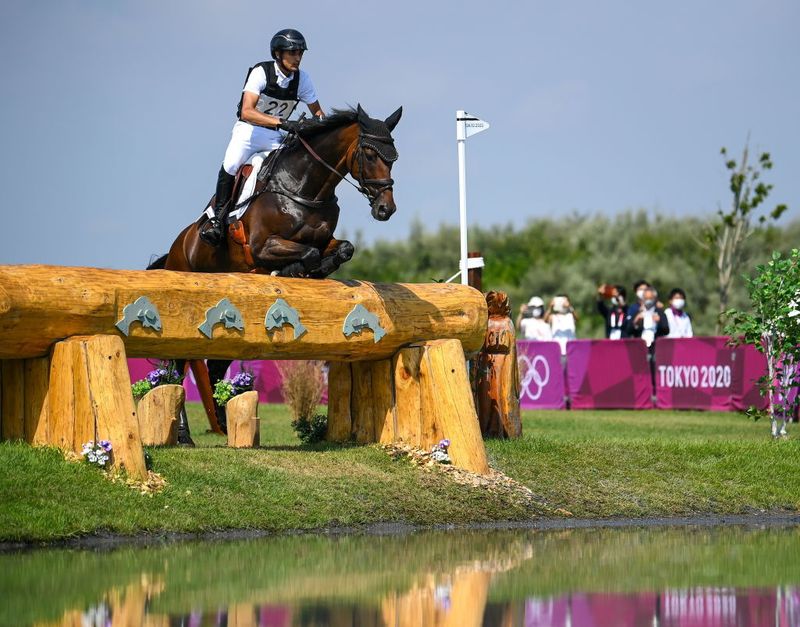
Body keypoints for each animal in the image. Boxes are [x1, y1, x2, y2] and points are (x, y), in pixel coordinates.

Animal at [148, 105, 404, 442]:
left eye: (394, 157)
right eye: (370, 154)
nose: (386, 209)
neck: (305, 188)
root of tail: (178, 245)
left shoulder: (323, 240)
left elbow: (343, 249)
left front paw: (311, 272)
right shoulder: (261, 247)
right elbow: (306, 254)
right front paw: (293, 270)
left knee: (214, 365)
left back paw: (222, 421)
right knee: (178, 366)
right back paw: (183, 435)